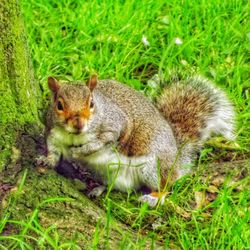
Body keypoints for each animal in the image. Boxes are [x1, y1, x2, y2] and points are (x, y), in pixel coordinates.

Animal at [38, 74, 234, 207]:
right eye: (59, 105)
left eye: (91, 103)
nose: (79, 124)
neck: (74, 135)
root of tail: (175, 161)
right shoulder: (53, 133)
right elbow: (53, 150)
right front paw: (46, 160)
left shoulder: (116, 126)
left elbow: (101, 142)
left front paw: (79, 151)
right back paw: (98, 188)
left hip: (152, 167)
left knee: (165, 185)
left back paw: (154, 197)